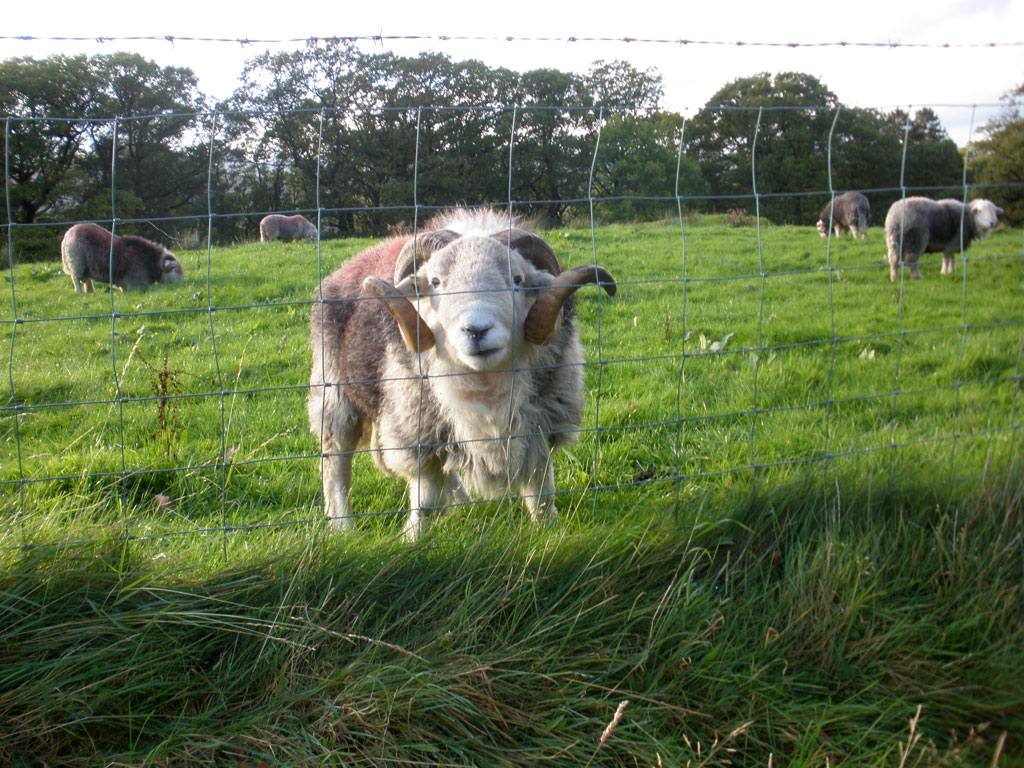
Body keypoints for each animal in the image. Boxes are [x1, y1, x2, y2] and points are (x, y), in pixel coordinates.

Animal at [307, 207, 614, 536]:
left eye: (517, 279)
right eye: (435, 282)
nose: (476, 331)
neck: (486, 386)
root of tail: (349, 264)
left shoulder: (541, 425)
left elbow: (541, 492)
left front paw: (550, 530)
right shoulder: (418, 432)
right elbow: (425, 498)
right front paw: (414, 537)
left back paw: (461, 504)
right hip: (334, 395)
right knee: (335, 463)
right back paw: (342, 526)